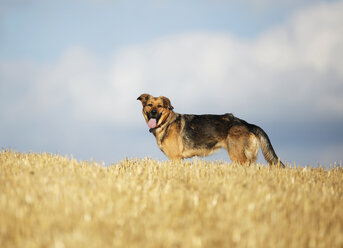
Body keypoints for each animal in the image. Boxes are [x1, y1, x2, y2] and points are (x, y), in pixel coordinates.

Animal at [137, 94, 284, 168]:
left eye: (160, 106)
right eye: (149, 105)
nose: (153, 112)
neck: (165, 122)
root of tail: (247, 124)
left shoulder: (176, 158)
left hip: (238, 157)